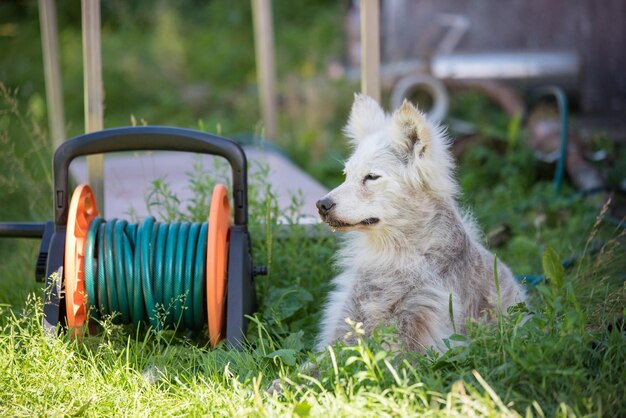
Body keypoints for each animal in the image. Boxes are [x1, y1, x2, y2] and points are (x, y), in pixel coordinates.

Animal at [314, 95, 524, 352]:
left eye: (372, 177)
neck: (395, 256)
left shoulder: (419, 335)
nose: (322, 205)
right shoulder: (347, 322)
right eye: (346, 175)